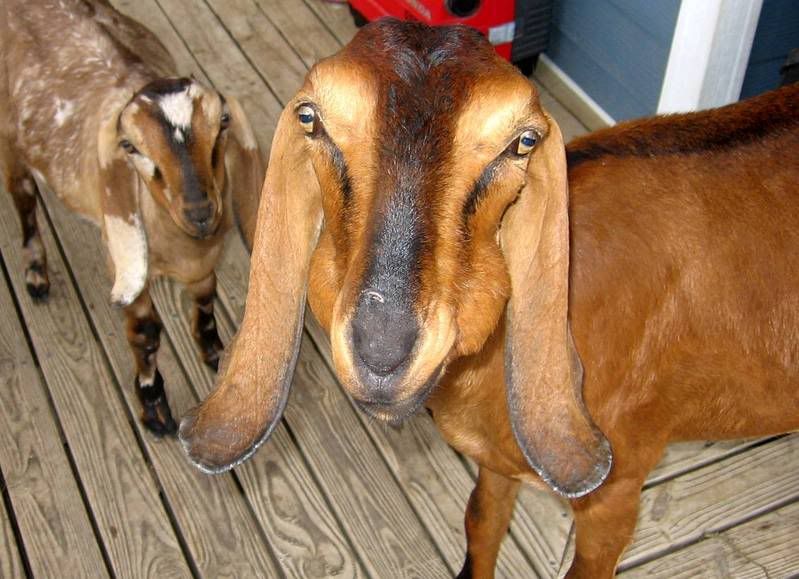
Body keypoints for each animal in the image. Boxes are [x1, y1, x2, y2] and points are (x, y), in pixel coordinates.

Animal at [1, 0, 263, 436]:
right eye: (130, 147)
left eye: (223, 123)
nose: (200, 212)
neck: (183, 248)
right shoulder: (126, 264)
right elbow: (146, 334)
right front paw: (153, 406)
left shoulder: (204, 262)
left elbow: (206, 299)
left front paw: (214, 352)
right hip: (11, 143)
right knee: (23, 199)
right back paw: (36, 272)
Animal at [179, 19, 799, 578]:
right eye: (310, 119)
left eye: (523, 140)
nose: (383, 350)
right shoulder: (493, 461)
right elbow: (481, 523)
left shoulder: (617, 491)